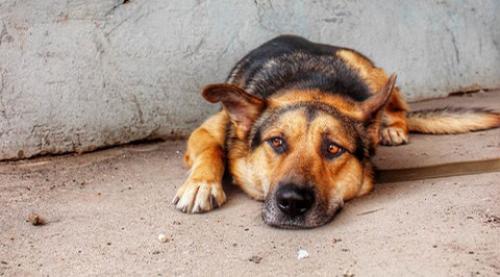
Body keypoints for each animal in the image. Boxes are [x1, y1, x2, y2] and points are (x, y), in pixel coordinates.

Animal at [172, 34, 500, 227]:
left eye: (333, 148)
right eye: (276, 142)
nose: (293, 202)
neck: (312, 86)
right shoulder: (206, 131)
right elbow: (212, 149)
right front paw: (201, 184)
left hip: (373, 75)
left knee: (399, 110)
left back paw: (391, 129)